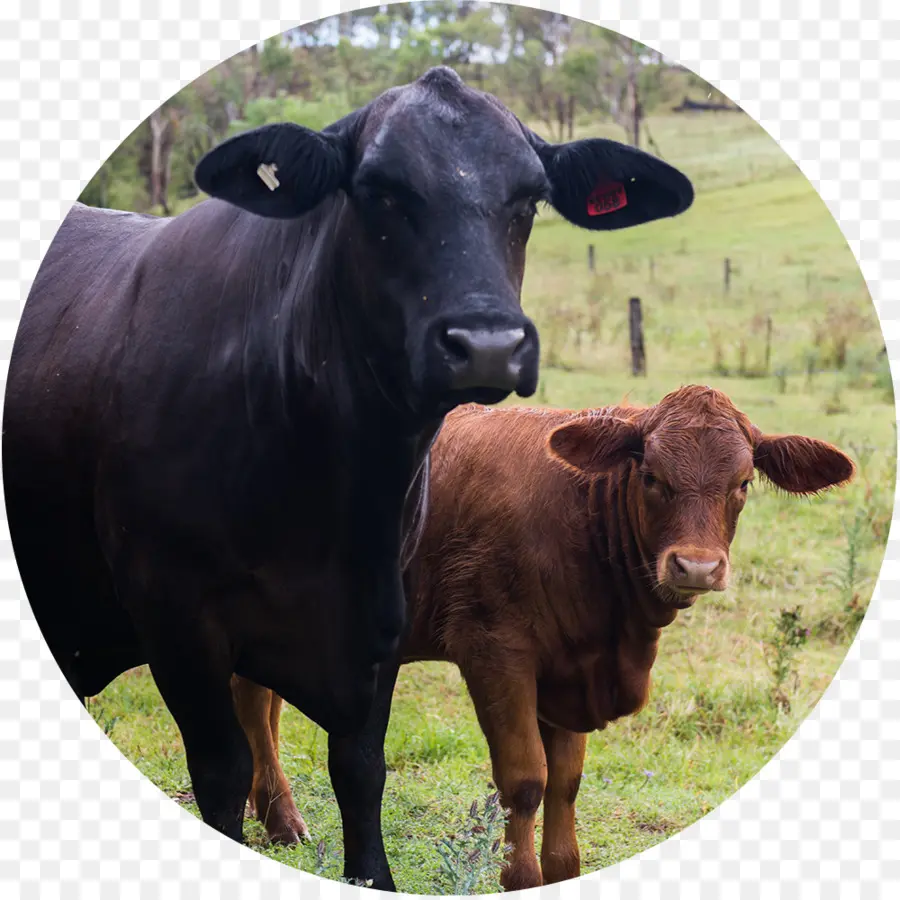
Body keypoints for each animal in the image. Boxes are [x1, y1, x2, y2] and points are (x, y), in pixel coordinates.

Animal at [1, 67, 696, 848]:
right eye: (379, 191)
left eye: (529, 198)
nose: (487, 344)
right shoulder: (174, 617)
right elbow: (220, 770)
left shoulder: (377, 617)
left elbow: (361, 771)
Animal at [229, 384, 856, 888]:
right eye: (652, 477)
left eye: (743, 483)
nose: (697, 567)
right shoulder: (495, 652)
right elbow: (526, 778)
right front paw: (522, 877)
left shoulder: (571, 665)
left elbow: (567, 782)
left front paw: (560, 870)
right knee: (253, 701)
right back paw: (280, 816)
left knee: (263, 699)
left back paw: (272, 813)